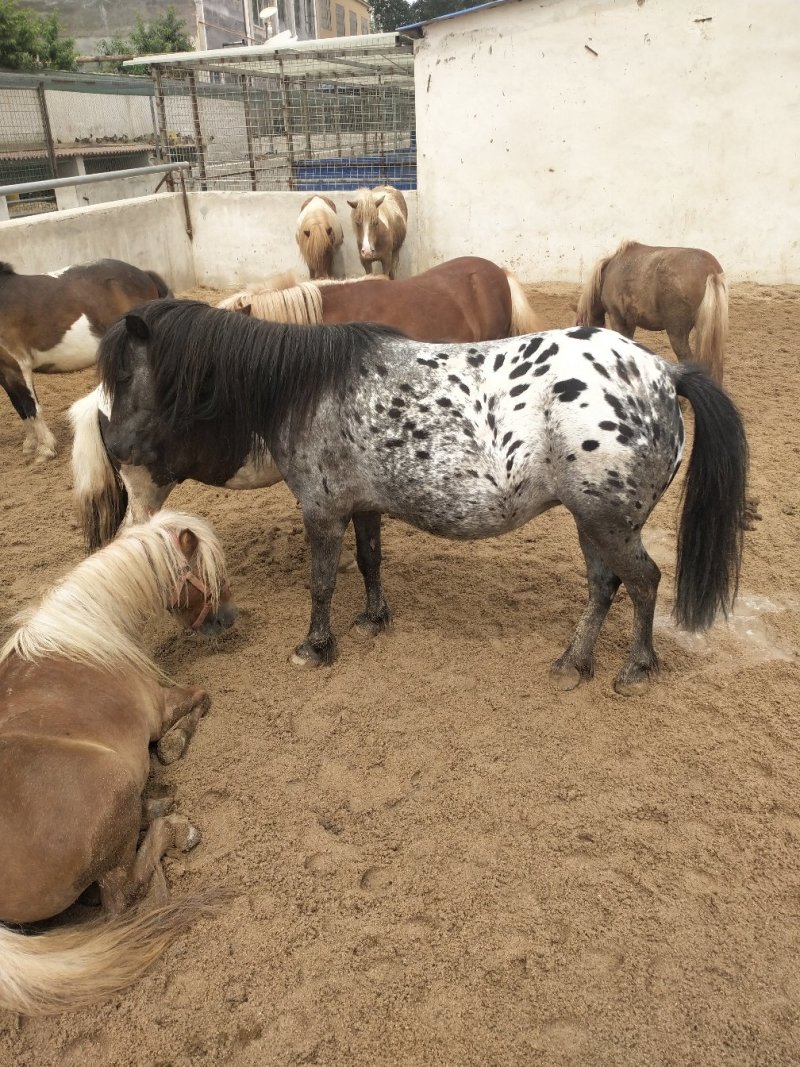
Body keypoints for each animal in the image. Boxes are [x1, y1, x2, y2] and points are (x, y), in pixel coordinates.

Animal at [0, 258, 171, 462]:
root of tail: (144, 275)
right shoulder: (4, 373)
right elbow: (20, 407)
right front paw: (30, 444)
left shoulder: (18, 366)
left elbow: (31, 407)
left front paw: (45, 449)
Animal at [0, 510, 238, 1016]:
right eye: (212, 574)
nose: (230, 617)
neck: (90, 633)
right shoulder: (162, 706)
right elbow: (200, 699)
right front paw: (174, 746)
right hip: (112, 792)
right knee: (122, 897)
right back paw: (175, 827)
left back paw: (157, 807)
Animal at [92, 300, 748, 695]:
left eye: (124, 377)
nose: (116, 448)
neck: (306, 389)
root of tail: (664, 375)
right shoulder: (361, 507)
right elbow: (369, 562)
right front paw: (372, 619)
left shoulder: (321, 511)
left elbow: (321, 582)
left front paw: (315, 646)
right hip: (593, 522)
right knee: (604, 585)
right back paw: (573, 662)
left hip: (609, 522)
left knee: (644, 581)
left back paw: (635, 667)